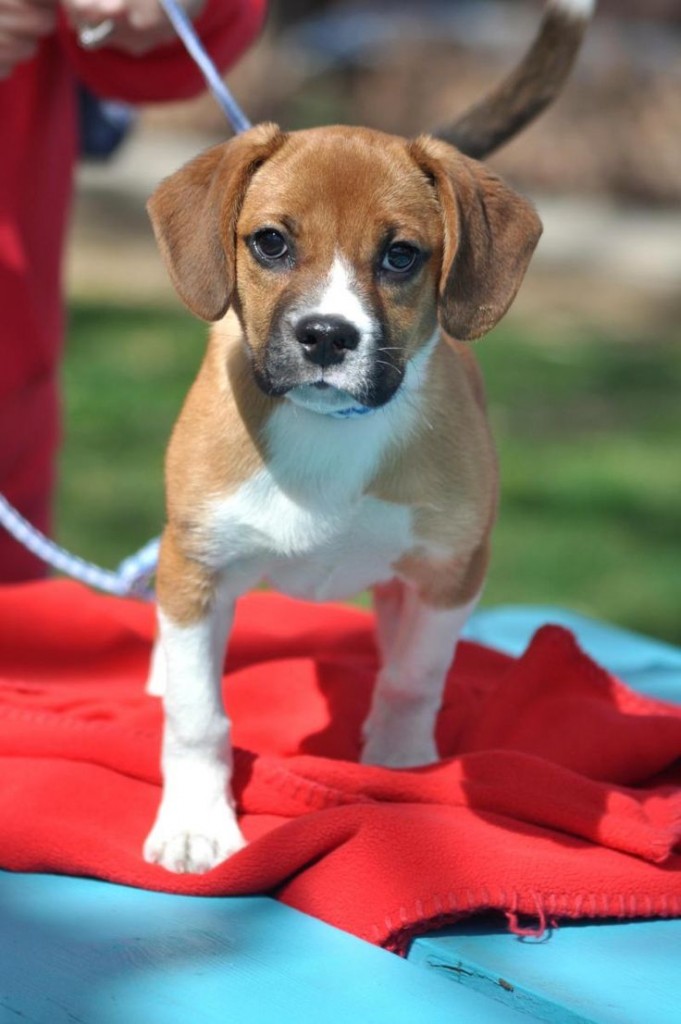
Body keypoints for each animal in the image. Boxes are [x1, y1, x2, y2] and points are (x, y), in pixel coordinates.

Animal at [144, 0, 593, 872]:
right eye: (271, 241)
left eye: (400, 256)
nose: (326, 336)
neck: (328, 433)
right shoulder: (199, 568)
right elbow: (197, 714)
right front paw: (194, 823)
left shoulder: (450, 573)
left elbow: (414, 679)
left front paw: (399, 765)